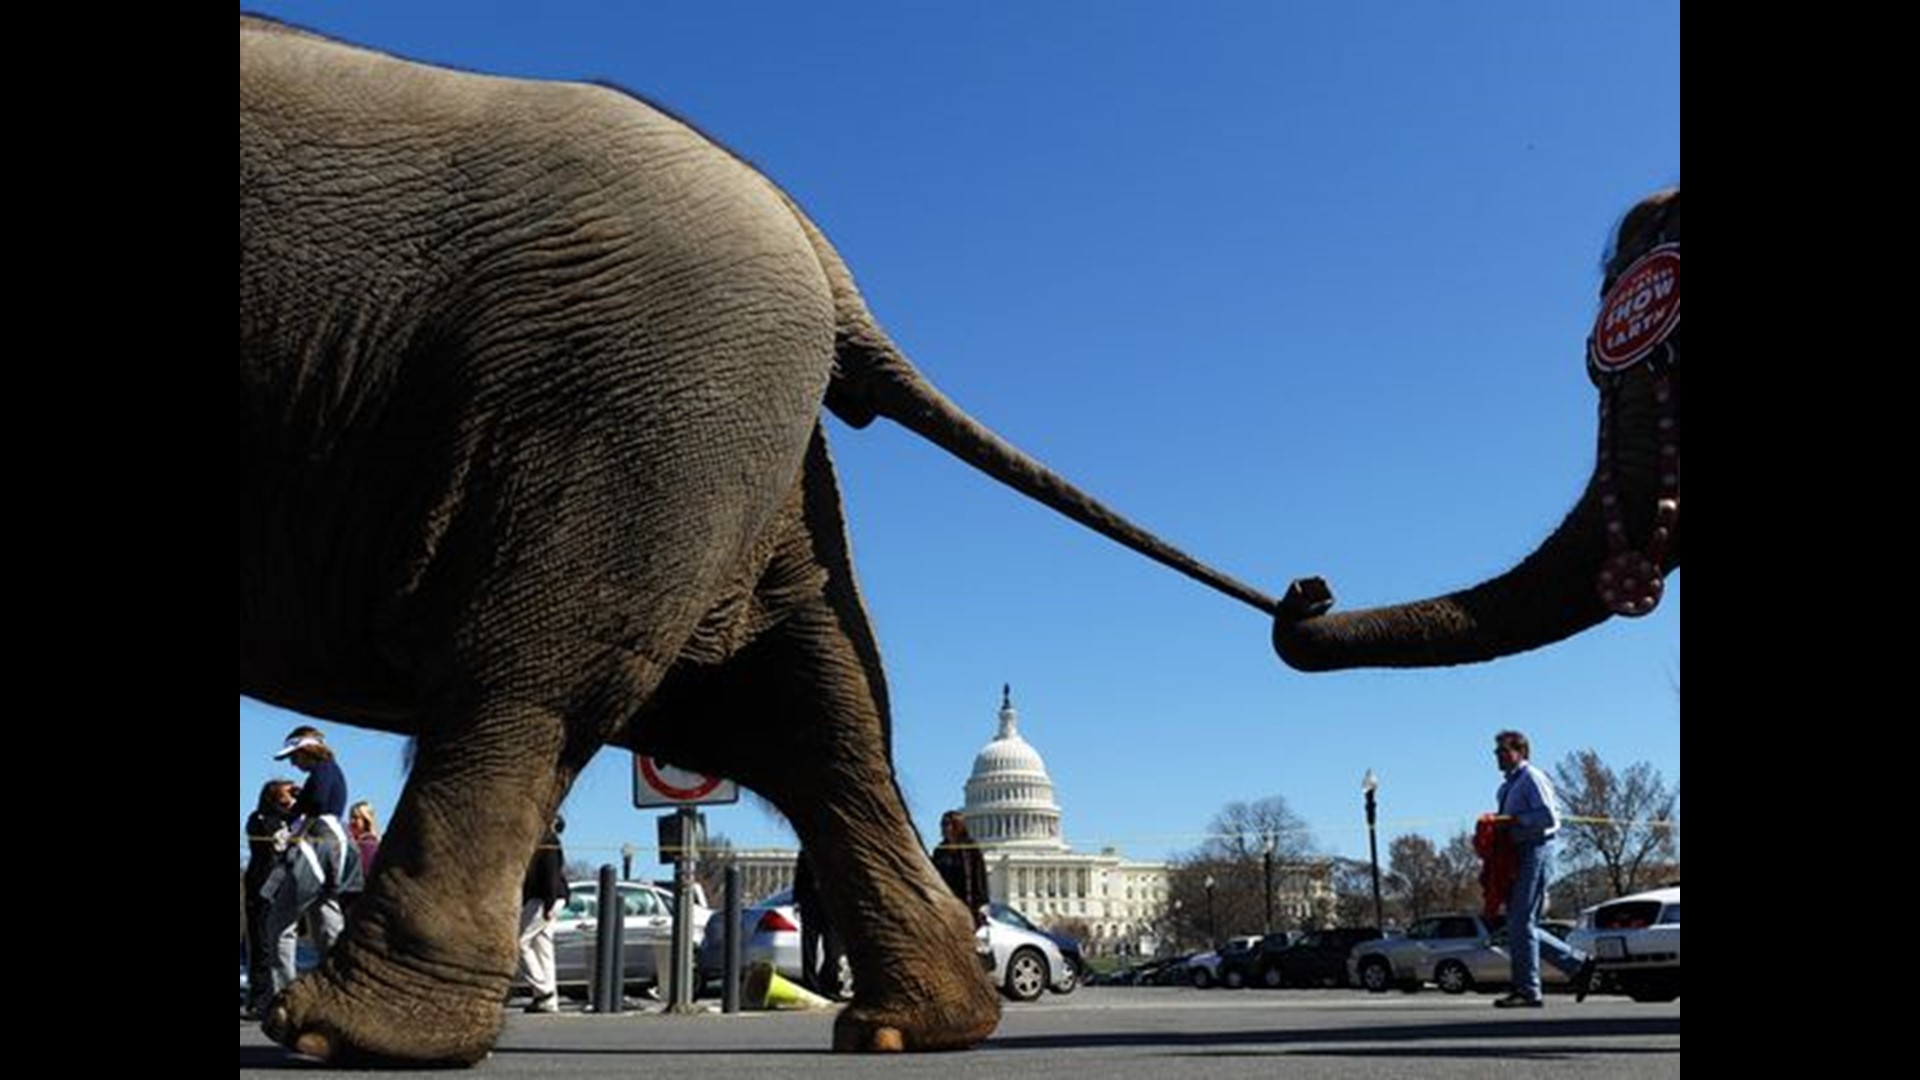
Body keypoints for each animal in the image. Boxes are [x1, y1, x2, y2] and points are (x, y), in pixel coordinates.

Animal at [236, 14, 1274, 1060]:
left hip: (620, 411)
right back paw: (909, 1021)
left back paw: (342, 1030)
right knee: (818, 720)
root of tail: (819, 252)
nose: (1086, 919)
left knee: (530, 683)